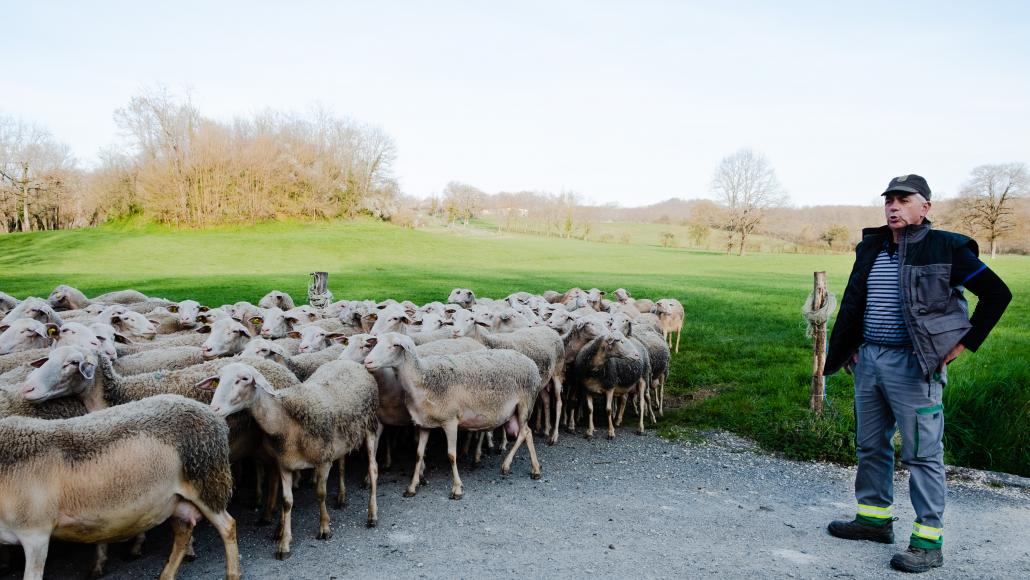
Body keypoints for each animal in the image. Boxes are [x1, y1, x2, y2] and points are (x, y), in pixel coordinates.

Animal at [0, 395, 242, 580]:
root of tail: (211, 414)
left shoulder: (36, 534)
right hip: (174, 499)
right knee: (183, 533)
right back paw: (166, 575)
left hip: (207, 483)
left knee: (227, 526)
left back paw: (232, 574)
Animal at [198, 360, 381, 560]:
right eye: (218, 379)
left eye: (244, 378)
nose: (214, 409)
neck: (286, 419)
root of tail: (351, 362)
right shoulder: (285, 464)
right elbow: (287, 502)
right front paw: (284, 543)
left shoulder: (323, 461)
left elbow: (320, 494)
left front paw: (324, 528)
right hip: (342, 442)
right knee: (341, 465)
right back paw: (342, 497)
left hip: (370, 427)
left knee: (373, 469)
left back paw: (372, 515)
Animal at [362, 331, 543, 498]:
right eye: (375, 342)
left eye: (394, 345)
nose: (367, 362)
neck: (423, 379)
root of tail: (530, 361)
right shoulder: (423, 424)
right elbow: (419, 454)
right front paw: (412, 487)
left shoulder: (450, 421)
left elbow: (451, 455)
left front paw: (456, 488)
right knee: (525, 433)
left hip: (525, 402)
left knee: (525, 432)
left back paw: (521, 467)